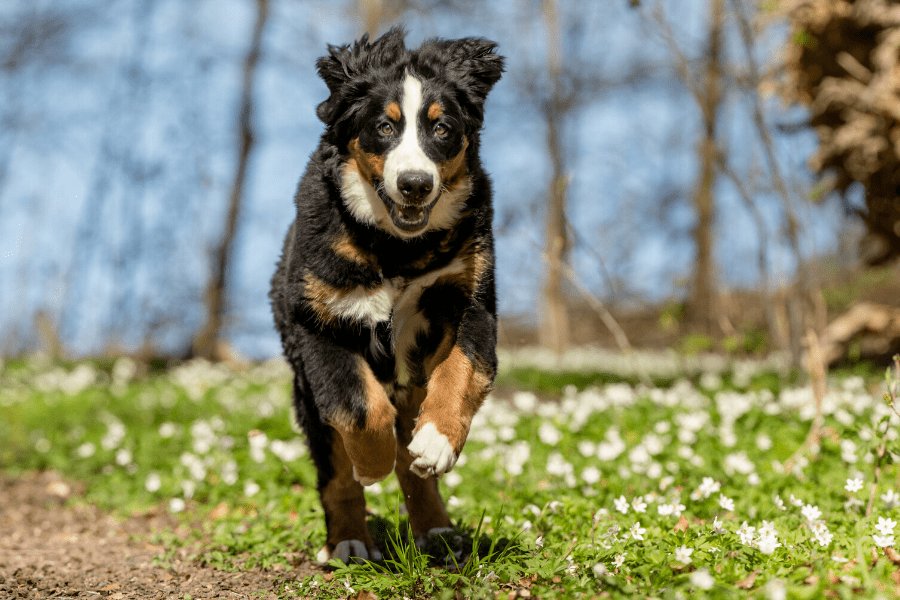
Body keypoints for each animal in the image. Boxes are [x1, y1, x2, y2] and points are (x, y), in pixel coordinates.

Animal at [268, 27, 506, 564]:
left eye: (442, 129)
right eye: (383, 126)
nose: (415, 184)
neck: (398, 250)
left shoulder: (472, 301)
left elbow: (460, 369)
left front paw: (437, 441)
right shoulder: (319, 325)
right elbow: (360, 410)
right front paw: (370, 463)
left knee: (412, 465)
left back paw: (437, 531)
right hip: (307, 398)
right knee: (336, 473)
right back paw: (349, 542)